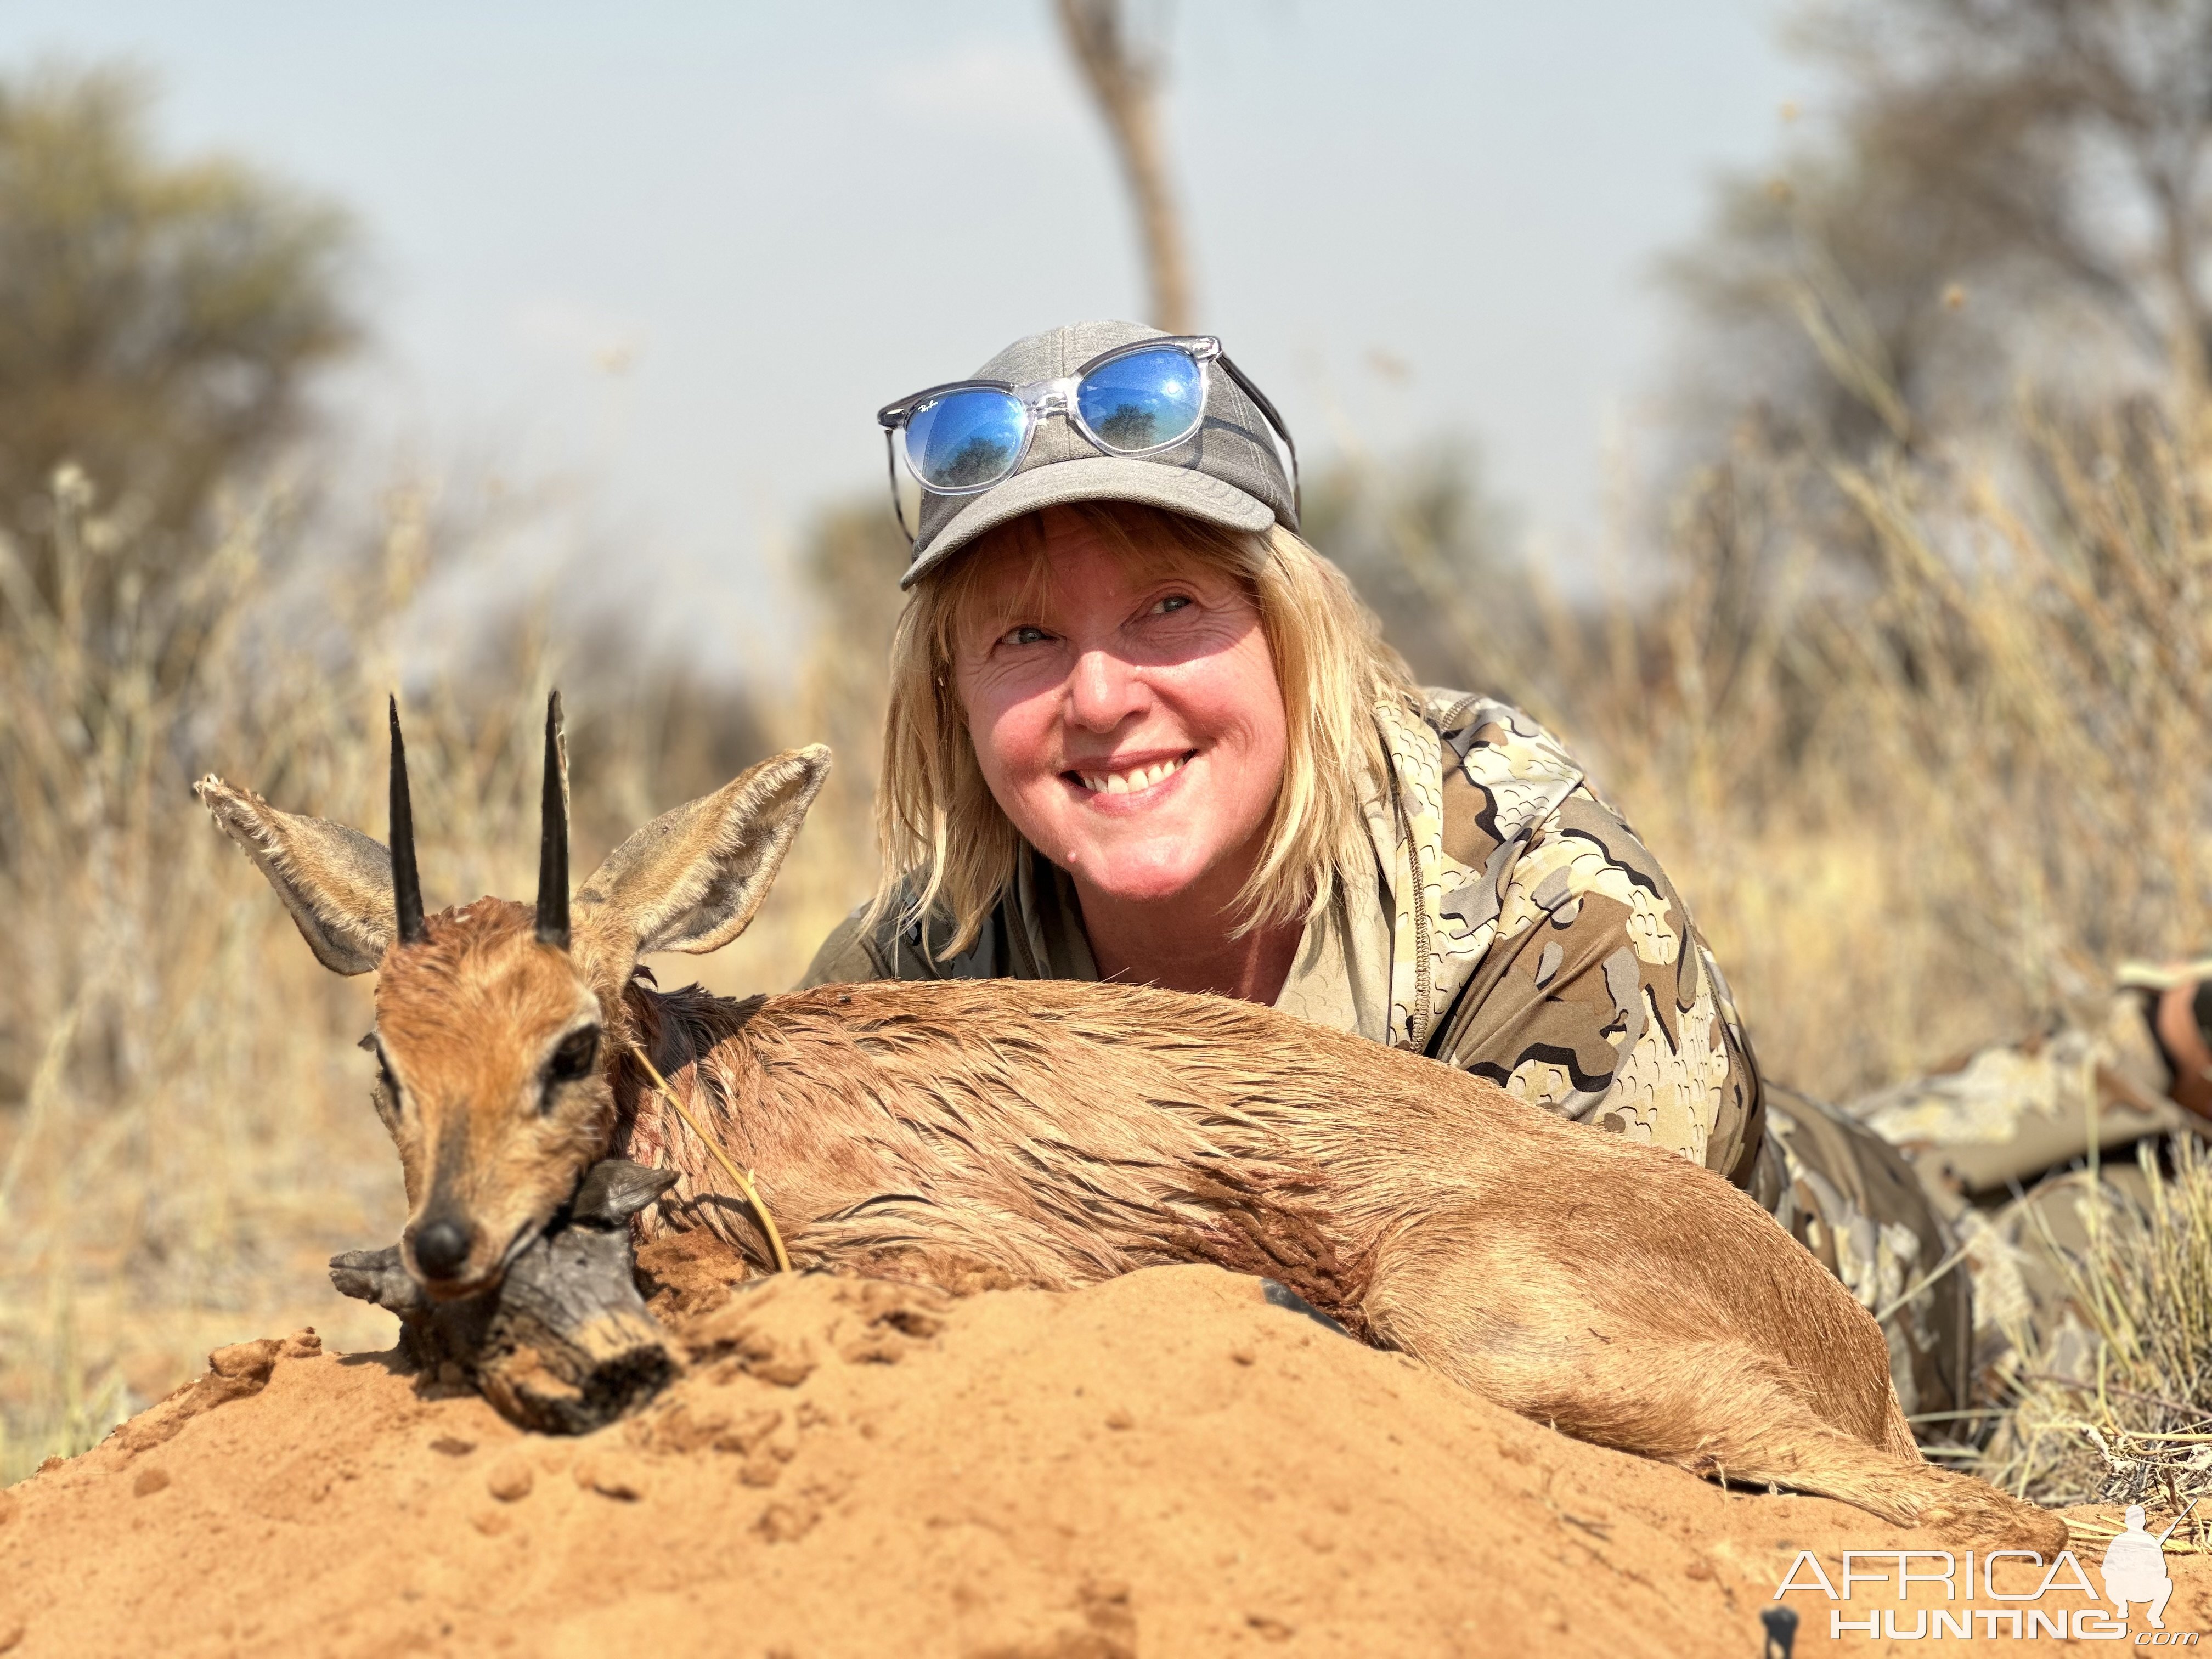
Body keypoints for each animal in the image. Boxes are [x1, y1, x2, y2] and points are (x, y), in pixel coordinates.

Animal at [199, 695, 2061, 1557]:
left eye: (570, 1043)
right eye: (382, 1056)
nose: (445, 1240)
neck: (716, 1098)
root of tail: (1839, 1332)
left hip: (1488, 1319)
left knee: (1999, 1520)